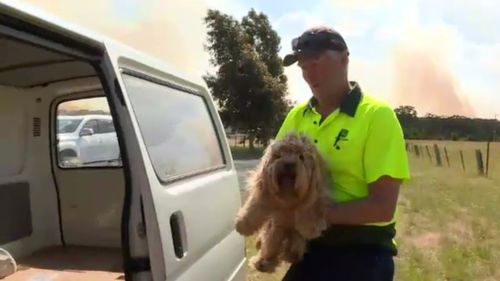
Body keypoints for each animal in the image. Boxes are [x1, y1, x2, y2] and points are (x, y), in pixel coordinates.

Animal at [235, 133, 330, 272]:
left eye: (301, 157)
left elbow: (309, 209)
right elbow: (254, 205)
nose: (288, 164)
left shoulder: (314, 193)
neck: (288, 198)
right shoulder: (264, 191)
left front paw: (310, 227)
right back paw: (263, 261)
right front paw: (242, 224)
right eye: (278, 156)